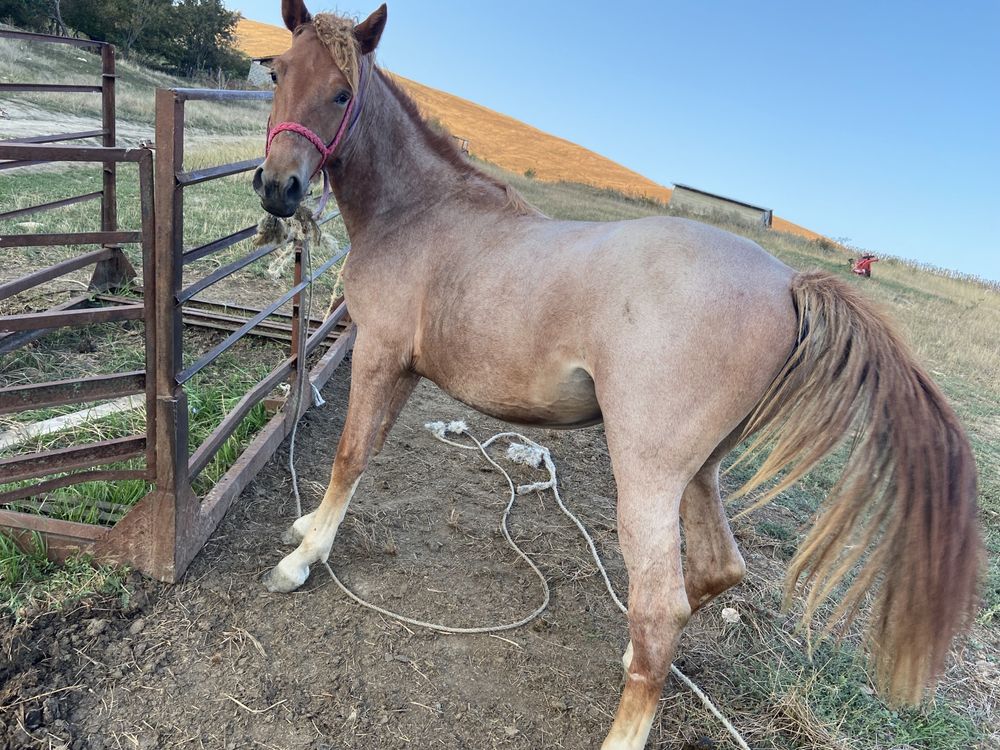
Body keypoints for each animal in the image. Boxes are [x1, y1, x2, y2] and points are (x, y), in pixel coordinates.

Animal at [254, 4, 980, 748]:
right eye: (278, 73)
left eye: (342, 92)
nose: (279, 188)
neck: (420, 213)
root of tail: (787, 281)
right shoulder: (398, 367)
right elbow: (363, 453)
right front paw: (308, 528)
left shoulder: (379, 355)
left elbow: (350, 454)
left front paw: (302, 559)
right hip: (699, 471)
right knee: (714, 570)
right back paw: (632, 653)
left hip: (646, 473)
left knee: (661, 606)